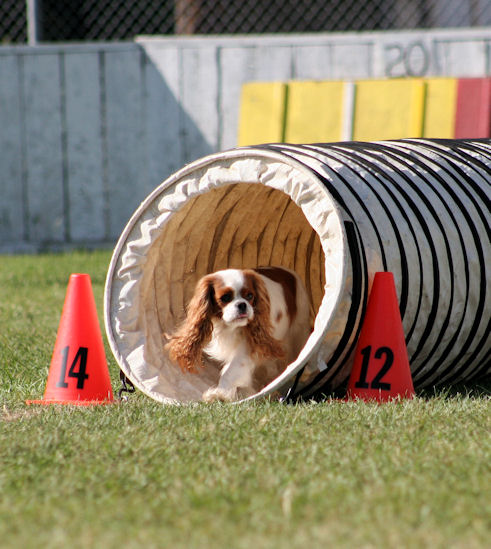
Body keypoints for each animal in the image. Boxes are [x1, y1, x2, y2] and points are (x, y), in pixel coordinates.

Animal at [165, 266, 312, 400]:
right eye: (225, 297)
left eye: (250, 296)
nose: (242, 304)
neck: (229, 327)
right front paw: (246, 392)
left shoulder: (247, 349)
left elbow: (229, 372)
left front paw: (219, 395)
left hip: (300, 328)